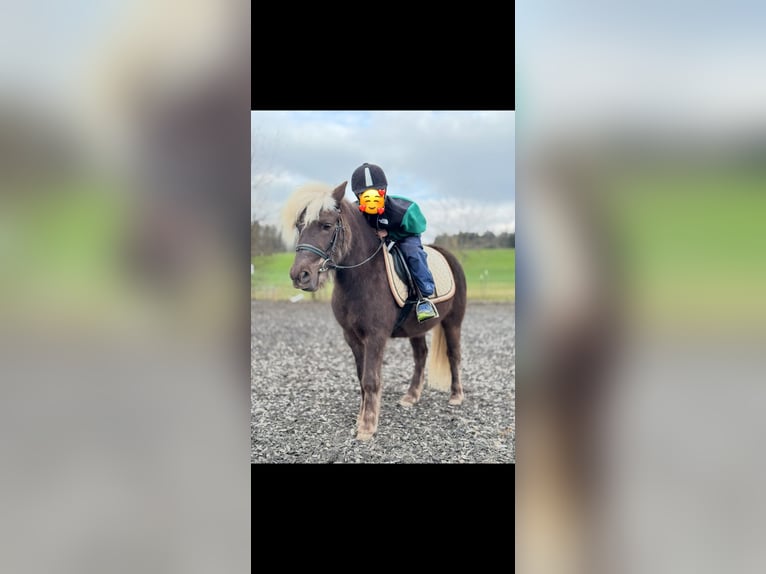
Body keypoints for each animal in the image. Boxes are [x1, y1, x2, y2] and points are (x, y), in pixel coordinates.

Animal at [281, 180, 467, 441]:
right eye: (300, 226)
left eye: (327, 226)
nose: (300, 275)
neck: (362, 276)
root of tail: (447, 255)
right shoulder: (352, 337)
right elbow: (362, 379)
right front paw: (361, 419)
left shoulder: (376, 336)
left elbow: (370, 379)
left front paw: (367, 427)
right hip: (417, 329)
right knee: (421, 355)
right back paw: (411, 396)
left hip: (453, 321)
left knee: (454, 354)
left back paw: (456, 396)